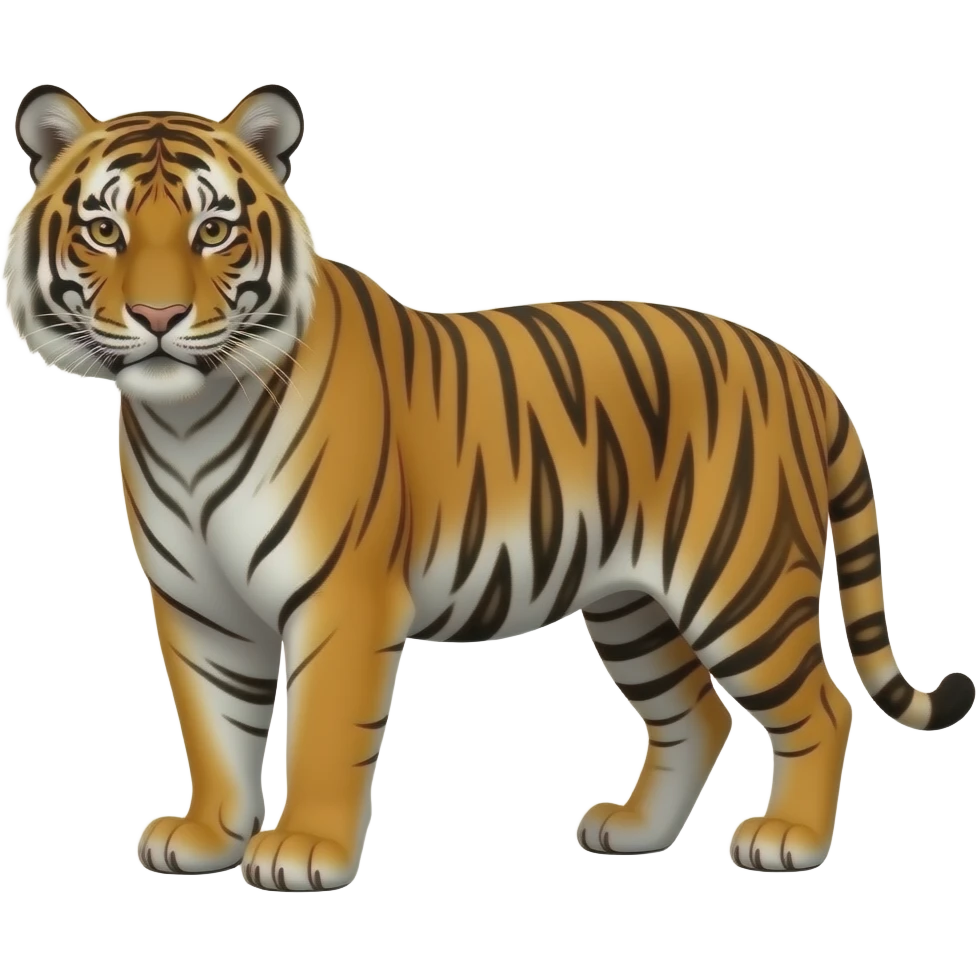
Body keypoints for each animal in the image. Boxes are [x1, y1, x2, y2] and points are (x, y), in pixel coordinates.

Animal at [4, 82, 973, 891]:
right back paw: (634, 831)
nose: (158, 318)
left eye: (212, 231)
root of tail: (802, 370)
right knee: (696, 713)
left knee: (823, 706)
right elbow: (214, 728)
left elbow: (321, 730)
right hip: (632, 606)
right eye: (104, 231)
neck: (187, 420)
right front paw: (208, 836)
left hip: (741, 585)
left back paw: (787, 840)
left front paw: (304, 850)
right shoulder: (198, 604)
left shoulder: (341, 597)